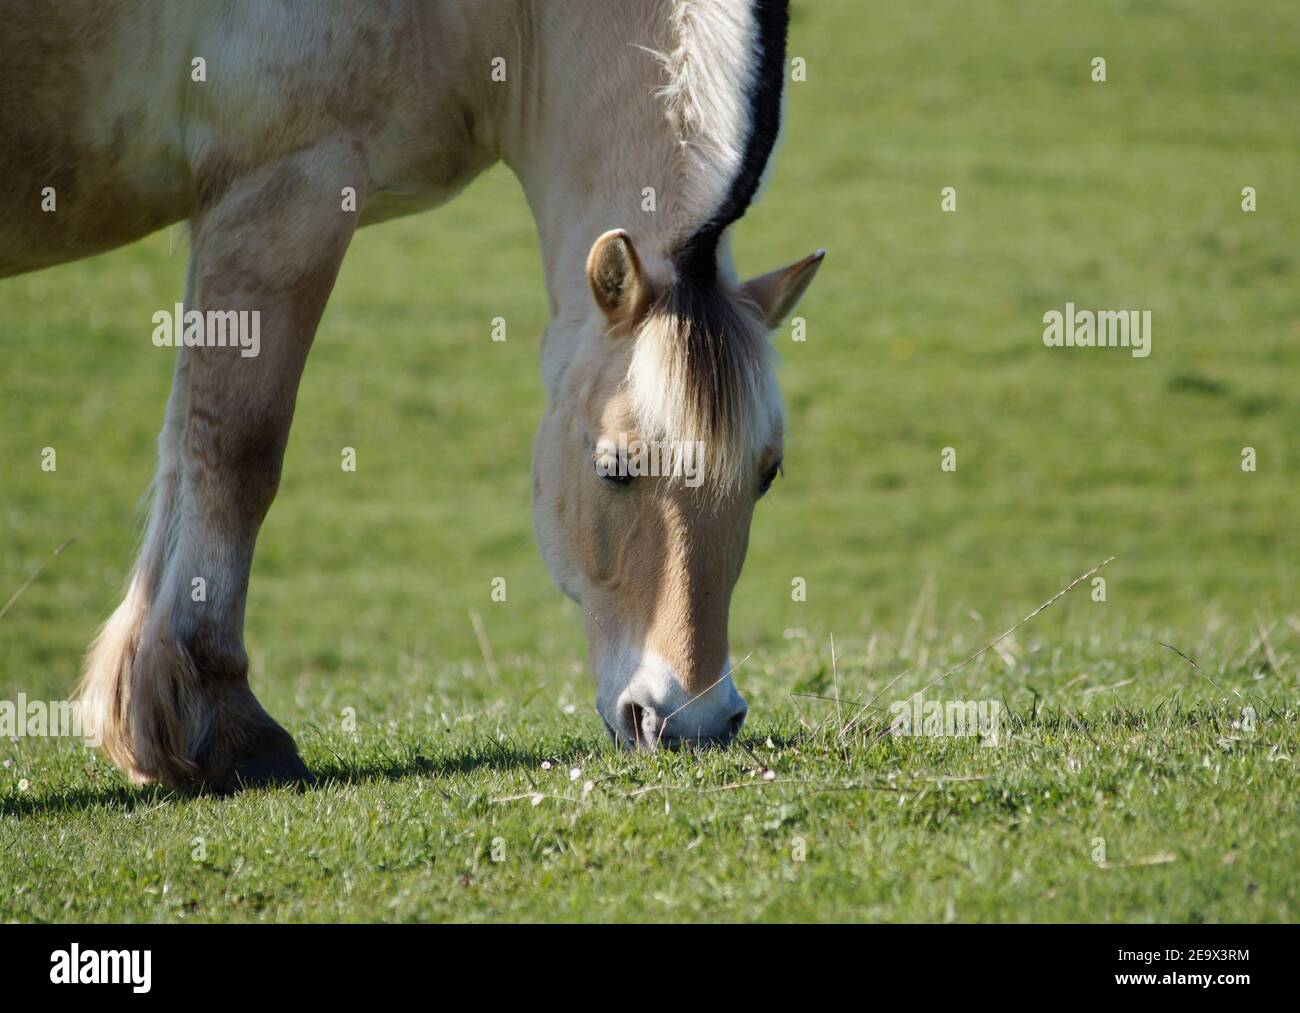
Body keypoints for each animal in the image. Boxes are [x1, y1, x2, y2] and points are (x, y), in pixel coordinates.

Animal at [2, 0, 821, 790]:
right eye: (614, 468)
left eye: (768, 475)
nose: (694, 721)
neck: (500, 16)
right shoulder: (286, 189)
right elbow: (237, 455)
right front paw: (229, 728)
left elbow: (184, 453)